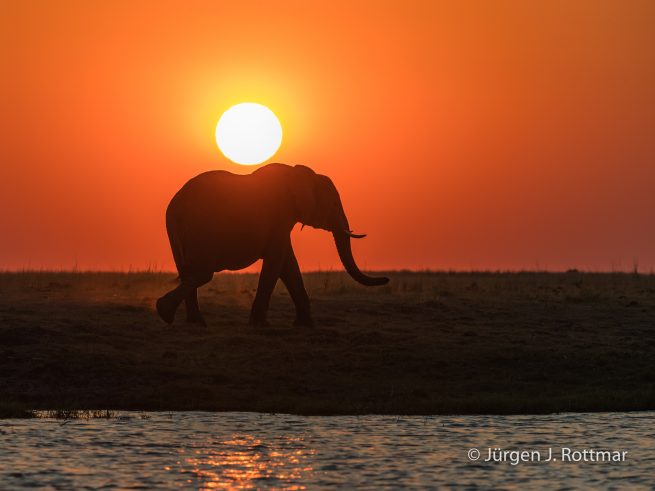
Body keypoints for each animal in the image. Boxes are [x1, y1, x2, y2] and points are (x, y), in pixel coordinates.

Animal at [156, 163, 389, 327]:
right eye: (332, 204)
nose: (386, 279)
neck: (301, 173)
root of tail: (176, 206)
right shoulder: (279, 215)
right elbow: (277, 260)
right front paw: (261, 325)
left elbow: (288, 264)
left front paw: (305, 325)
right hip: (202, 228)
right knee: (203, 273)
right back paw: (165, 312)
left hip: (176, 231)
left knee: (188, 271)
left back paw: (192, 322)